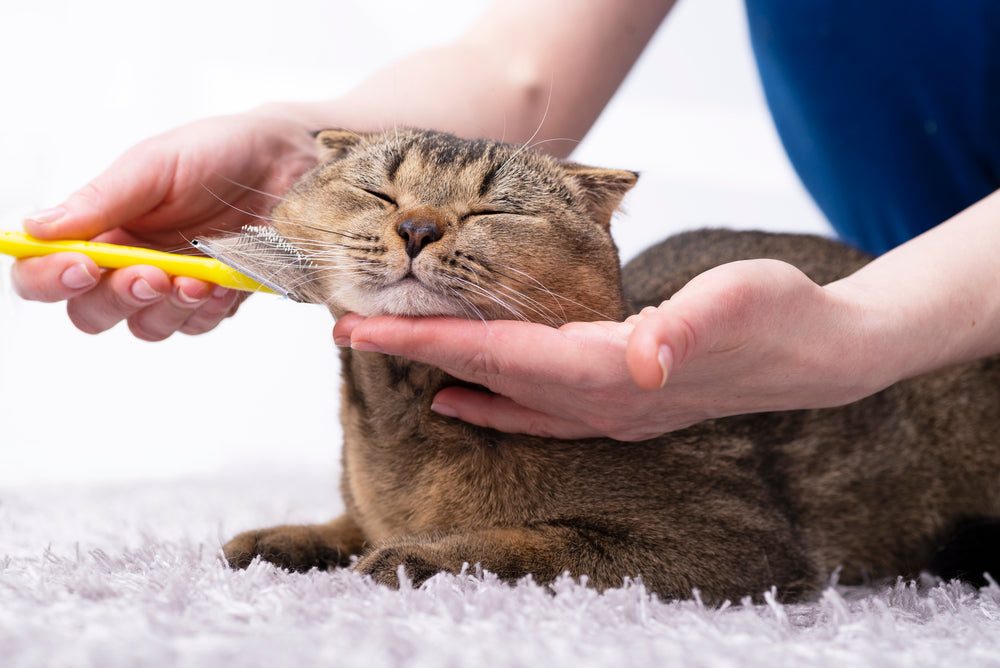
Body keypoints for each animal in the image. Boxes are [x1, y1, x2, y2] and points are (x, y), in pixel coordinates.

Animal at [219, 128, 1000, 604]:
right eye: (378, 192)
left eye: (494, 211)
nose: (417, 227)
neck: (402, 429)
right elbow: (352, 523)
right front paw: (286, 538)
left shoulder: (732, 544)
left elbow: (524, 546)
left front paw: (416, 558)